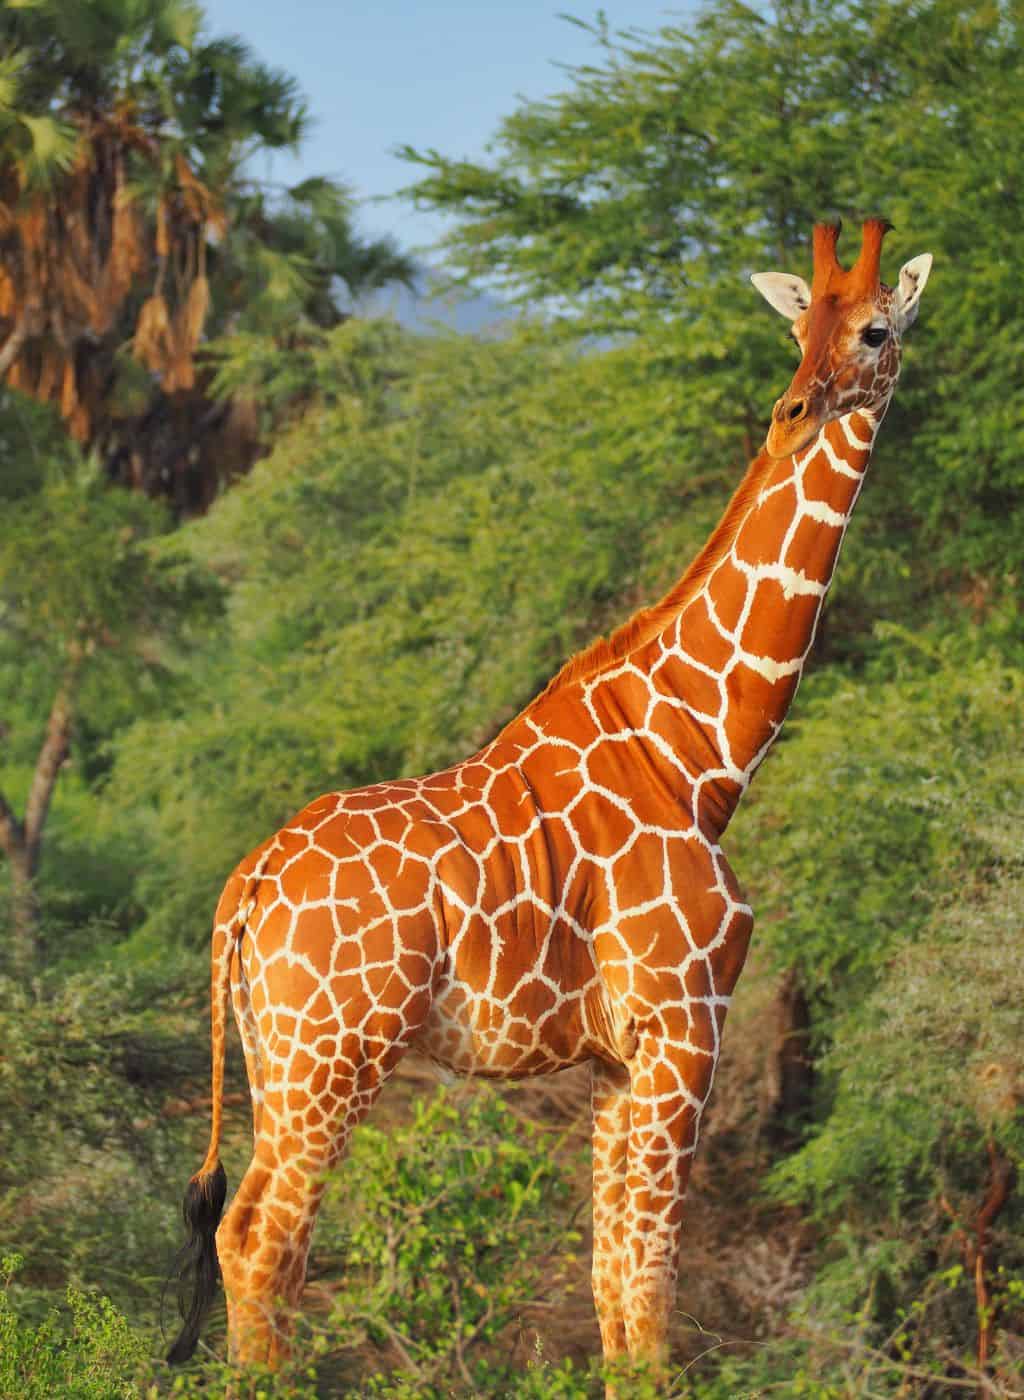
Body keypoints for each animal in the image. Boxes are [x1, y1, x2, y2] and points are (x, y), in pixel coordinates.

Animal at [170, 218, 935, 1377]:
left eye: (875, 329)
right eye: (801, 326)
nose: (797, 407)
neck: (700, 753)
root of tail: (244, 887)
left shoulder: (619, 1059)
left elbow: (614, 1291)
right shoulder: (684, 1026)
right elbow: (654, 1294)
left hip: (272, 1055)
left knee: (240, 1235)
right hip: (335, 1055)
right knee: (265, 1242)